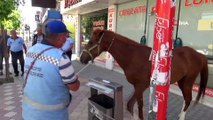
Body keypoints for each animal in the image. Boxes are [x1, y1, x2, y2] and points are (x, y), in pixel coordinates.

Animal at [80, 28, 208, 119]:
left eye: (91, 42)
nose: (82, 58)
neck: (133, 56)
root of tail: (199, 54)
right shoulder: (137, 87)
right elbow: (132, 105)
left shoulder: (141, 86)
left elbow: (136, 107)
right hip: (181, 81)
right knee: (186, 99)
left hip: (187, 81)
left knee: (188, 99)